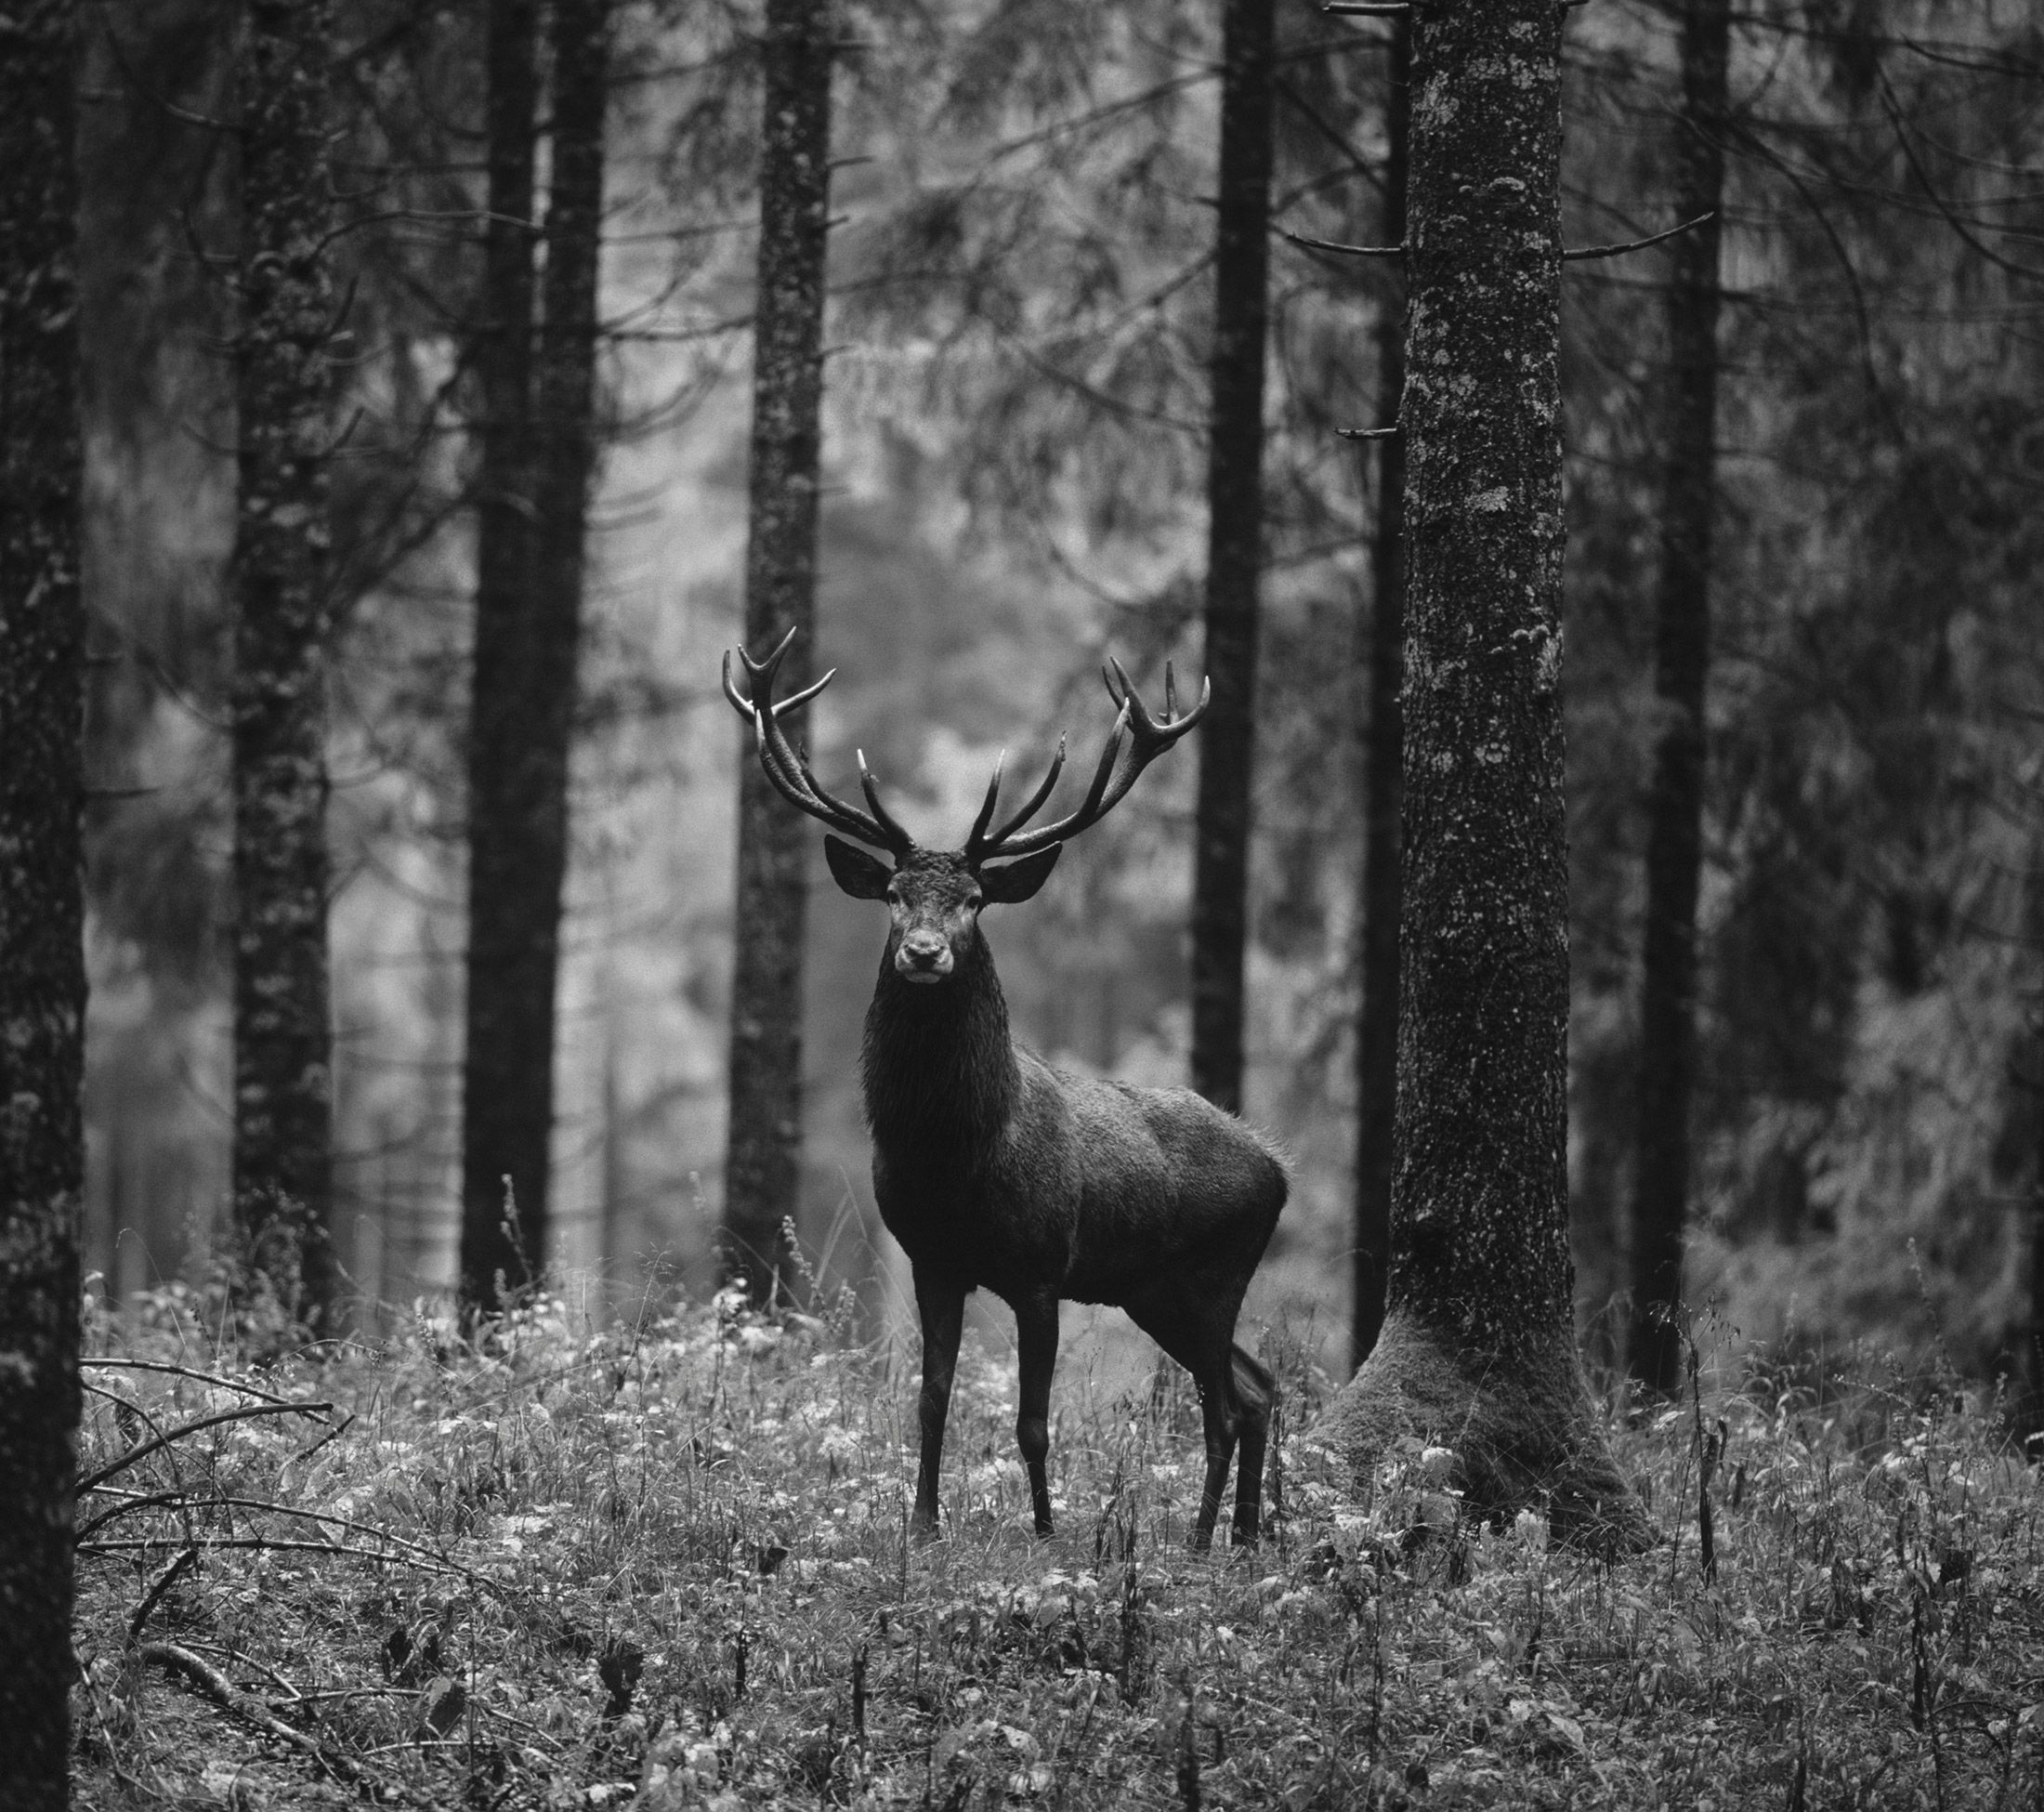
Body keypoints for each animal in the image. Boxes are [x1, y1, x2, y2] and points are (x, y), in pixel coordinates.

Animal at [723, 627, 1288, 1550]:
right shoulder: (931, 1260)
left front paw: (1048, 1533)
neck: (956, 1156)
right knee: (1259, 1387)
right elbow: (931, 1401)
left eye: (976, 898)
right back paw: (1237, 1539)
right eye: (892, 893)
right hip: (1155, 1290)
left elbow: (1032, 1421)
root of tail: (1280, 1169)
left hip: (1214, 1274)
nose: (923, 952)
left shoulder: (1040, 1269)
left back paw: (1203, 1543)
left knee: (1229, 1404)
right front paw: (923, 1527)